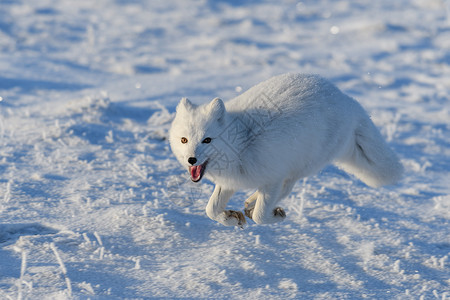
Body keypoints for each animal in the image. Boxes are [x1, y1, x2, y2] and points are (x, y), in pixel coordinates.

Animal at [170, 73, 404, 227]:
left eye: (207, 140)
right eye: (184, 140)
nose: (191, 160)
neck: (242, 143)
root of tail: (347, 100)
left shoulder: (273, 176)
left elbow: (260, 216)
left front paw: (272, 215)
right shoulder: (230, 181)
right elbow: (210, 209)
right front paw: (229, 218)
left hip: (303, 164)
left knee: (287, 187)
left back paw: (254, 201)